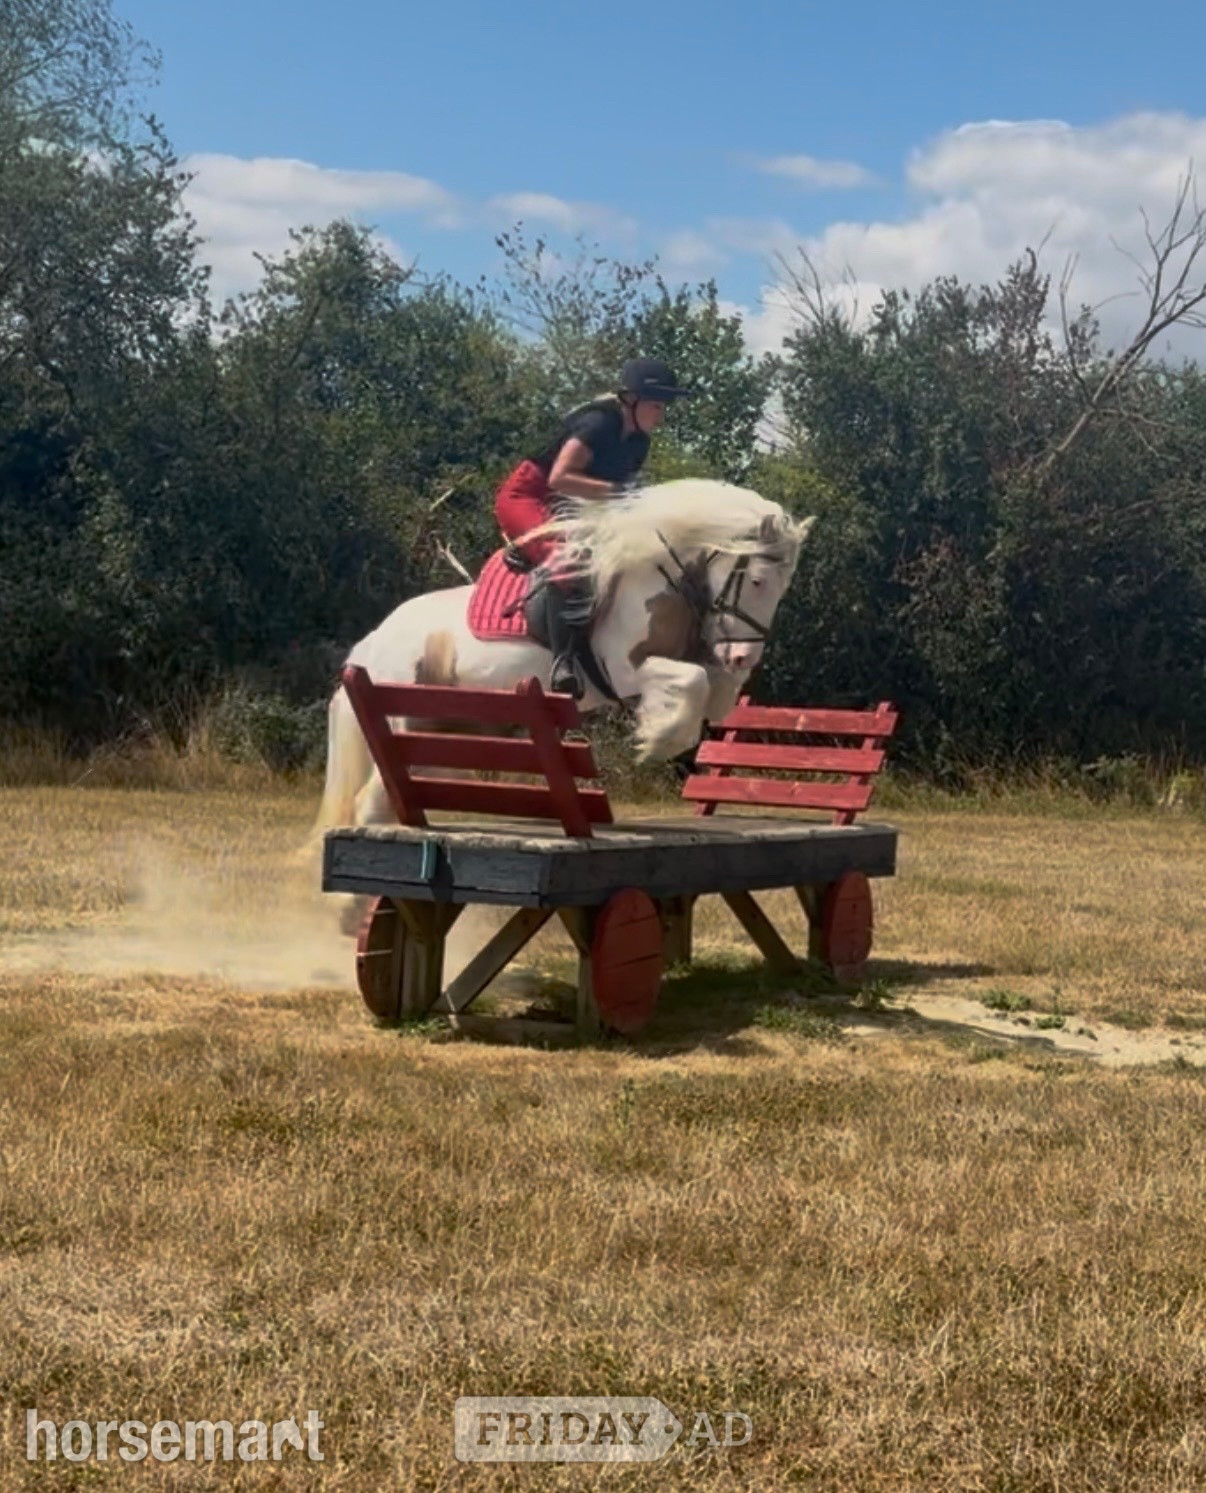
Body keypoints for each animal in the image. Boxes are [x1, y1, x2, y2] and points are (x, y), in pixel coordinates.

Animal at [309, 477, 814, 838]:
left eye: (784, 588)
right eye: (757, 582)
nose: (744, 656)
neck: (662, 575)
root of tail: (372, 642)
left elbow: (715, 691)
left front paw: (667, 727)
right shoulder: (626, 669)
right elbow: (693, 683)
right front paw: (654, 741)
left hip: (440, 732)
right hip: (406, 720)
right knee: (372, 802)